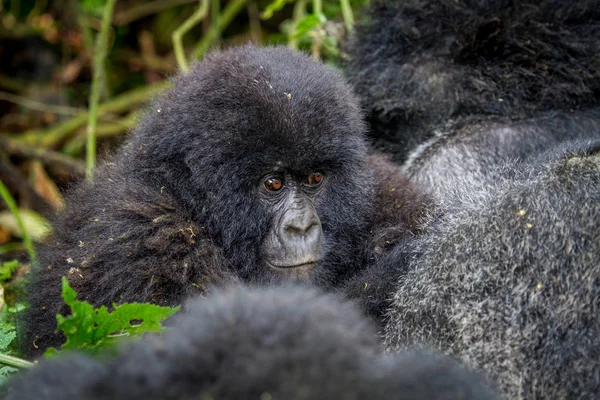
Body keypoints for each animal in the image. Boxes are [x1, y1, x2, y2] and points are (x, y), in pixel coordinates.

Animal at [23, 46, 426, 356]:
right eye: (273, 183)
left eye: (315, 179)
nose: (302, 226)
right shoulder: (143, 241)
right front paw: (402, 264)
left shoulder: (384, 187)